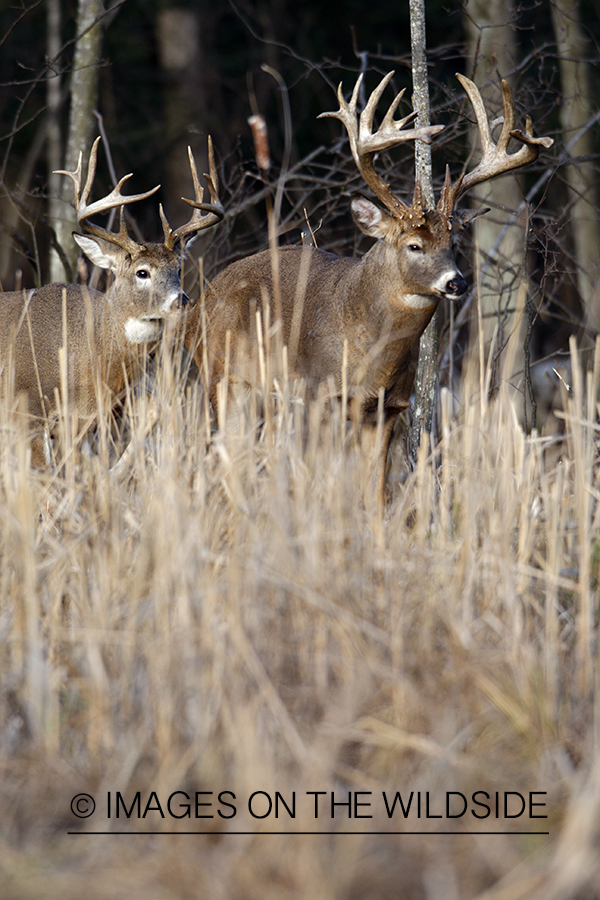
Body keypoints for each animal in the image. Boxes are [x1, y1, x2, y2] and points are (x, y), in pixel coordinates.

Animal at [0, 139, 223, 472]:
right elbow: (45, 474)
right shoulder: (26, 405)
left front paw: (114, 474)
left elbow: (154, 408)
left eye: (179, 268)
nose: (182, 301)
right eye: (142, 272)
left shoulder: (104, 406)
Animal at [184, 73, 552, 512]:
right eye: (414, 245)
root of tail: (200, 303)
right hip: (223, 378)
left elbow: (375, 493)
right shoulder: (319, 396)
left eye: (455, 243)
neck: (369, 347)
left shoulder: (387, 409)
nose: (456, 283)